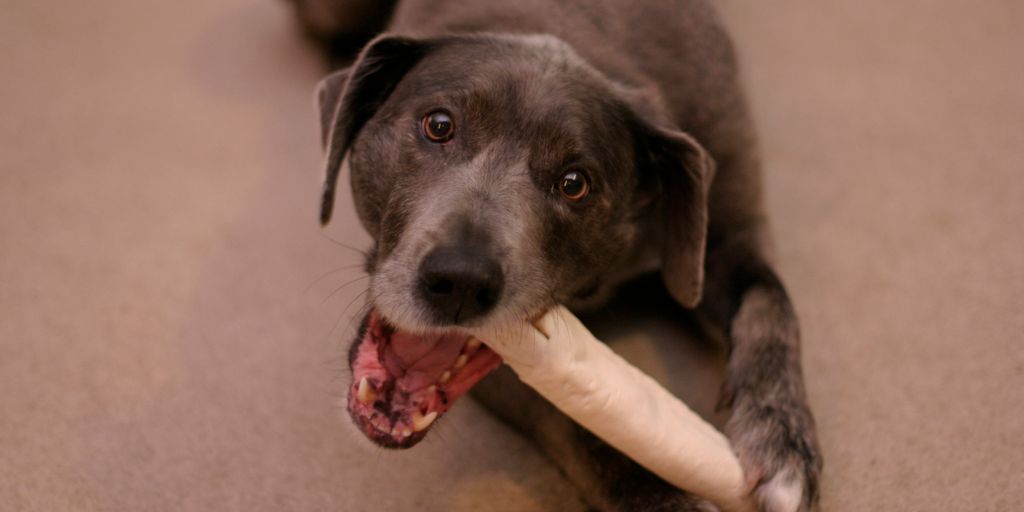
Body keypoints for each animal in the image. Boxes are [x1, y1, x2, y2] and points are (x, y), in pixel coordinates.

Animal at [292, 2, 819, 509]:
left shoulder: (728, 237)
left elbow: (770, 303)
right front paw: (660, 494)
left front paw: (783, 436)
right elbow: (578, 420)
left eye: (574, 183)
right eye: (438, 125)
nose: (460, 281)